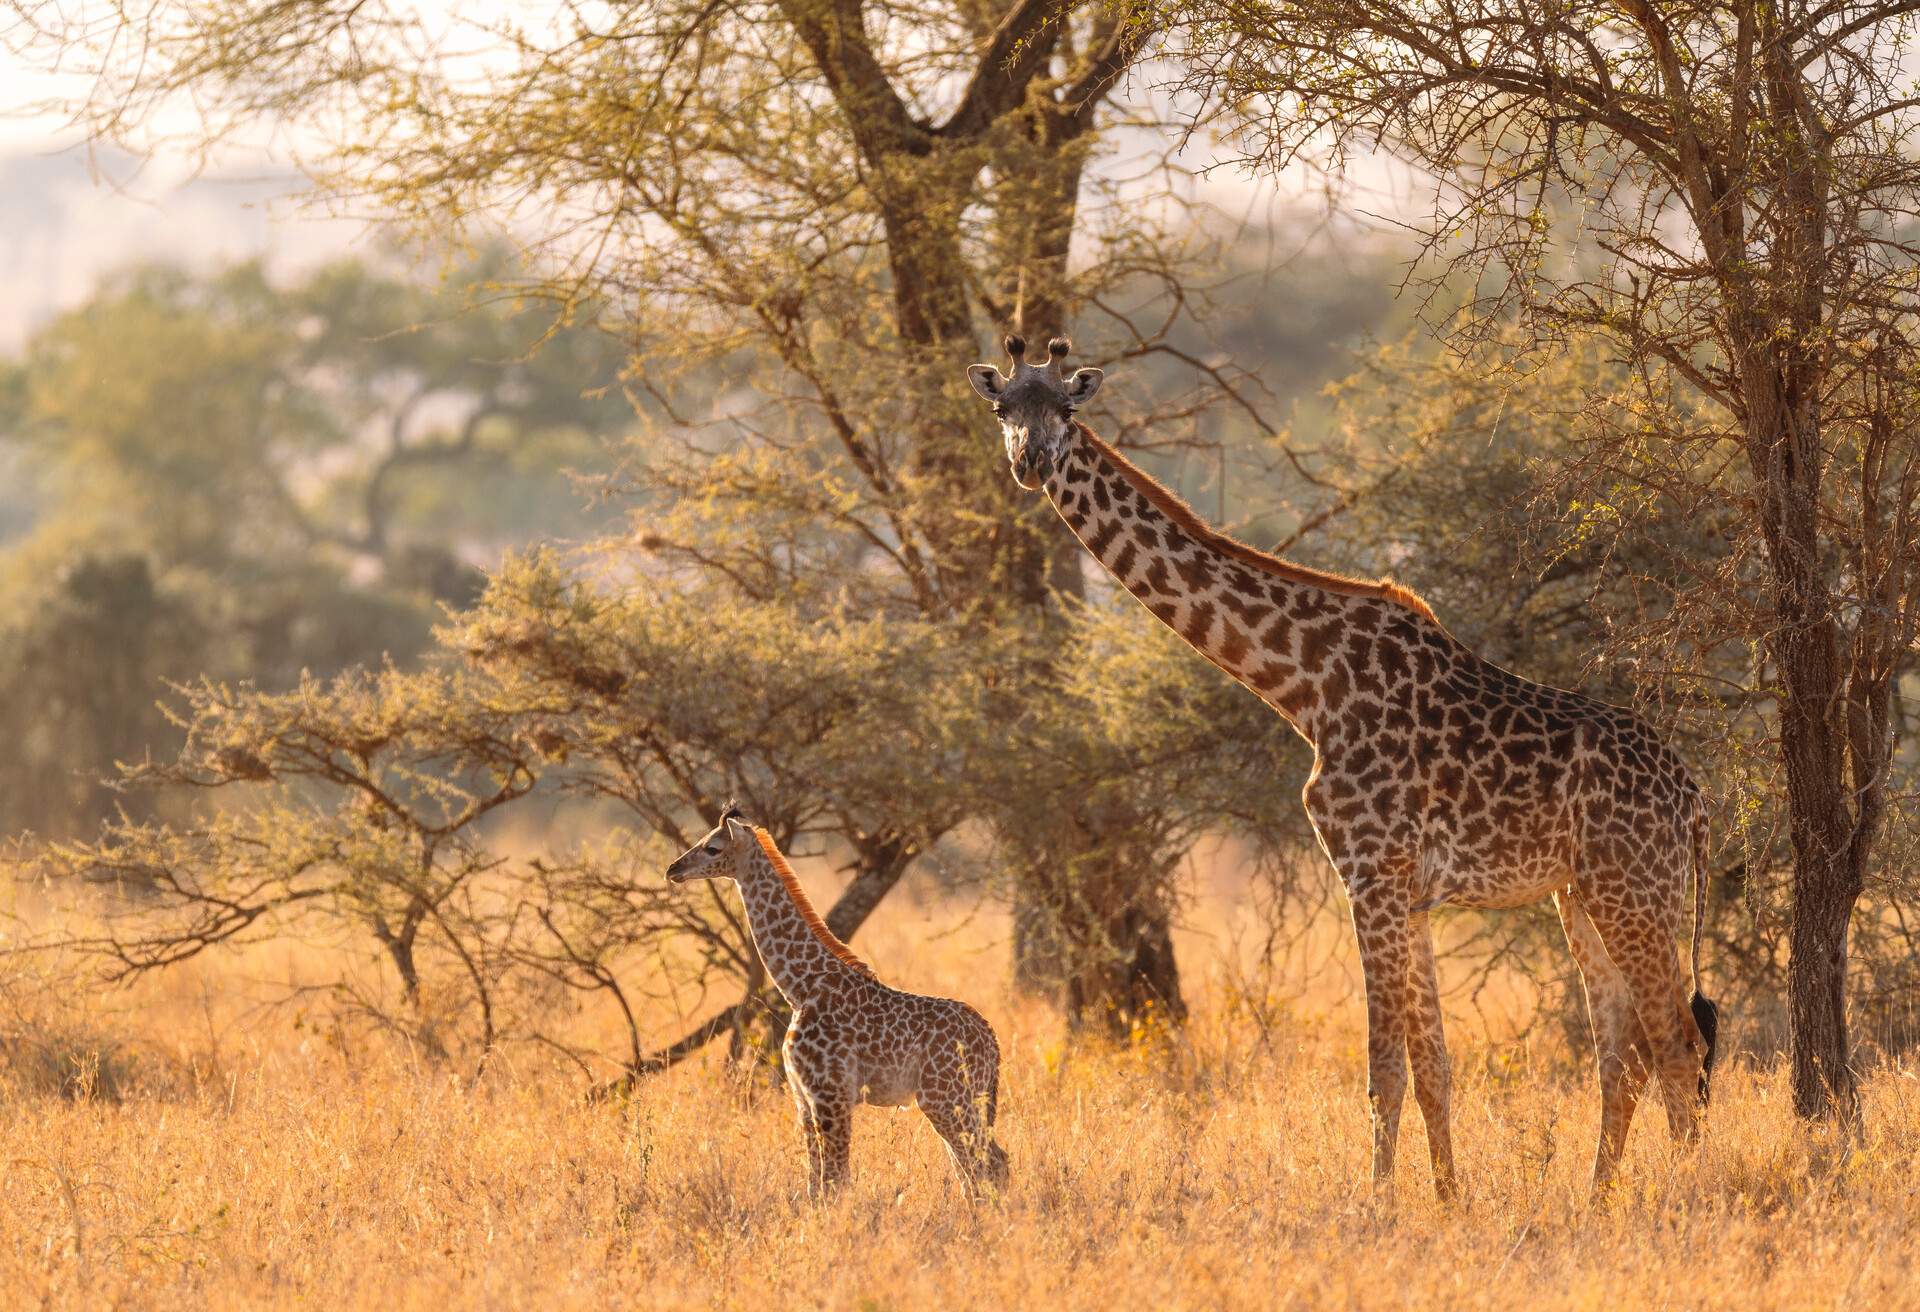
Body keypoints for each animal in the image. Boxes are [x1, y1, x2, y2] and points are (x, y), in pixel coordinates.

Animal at [668, 799, 1013, 1198]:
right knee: (976, 1167)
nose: (674, 869)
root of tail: (992, 1042)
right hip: (963, 1099)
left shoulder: (830, 1093)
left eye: (713, 847)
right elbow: (816, 1180)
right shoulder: (803, 1097)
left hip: (944, 1098)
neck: (801, 987)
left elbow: (833, 1179)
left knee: (988, 1163)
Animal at [967, 334, 1720, 1198]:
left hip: (1632, 890)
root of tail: (1695, 800)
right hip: (1582, 896)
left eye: (1067, 408)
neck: (1304, 684)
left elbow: (1383, 1069)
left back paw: (1683, 1200)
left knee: (1676, 1043)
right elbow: (1434, 1066)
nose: (1031, 462)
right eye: (1003, 409)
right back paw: (1599, 1200)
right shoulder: (1409, 892)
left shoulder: (1369, 873)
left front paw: (1380, 1206)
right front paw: (1449, 1201)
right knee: (1623, 1054)